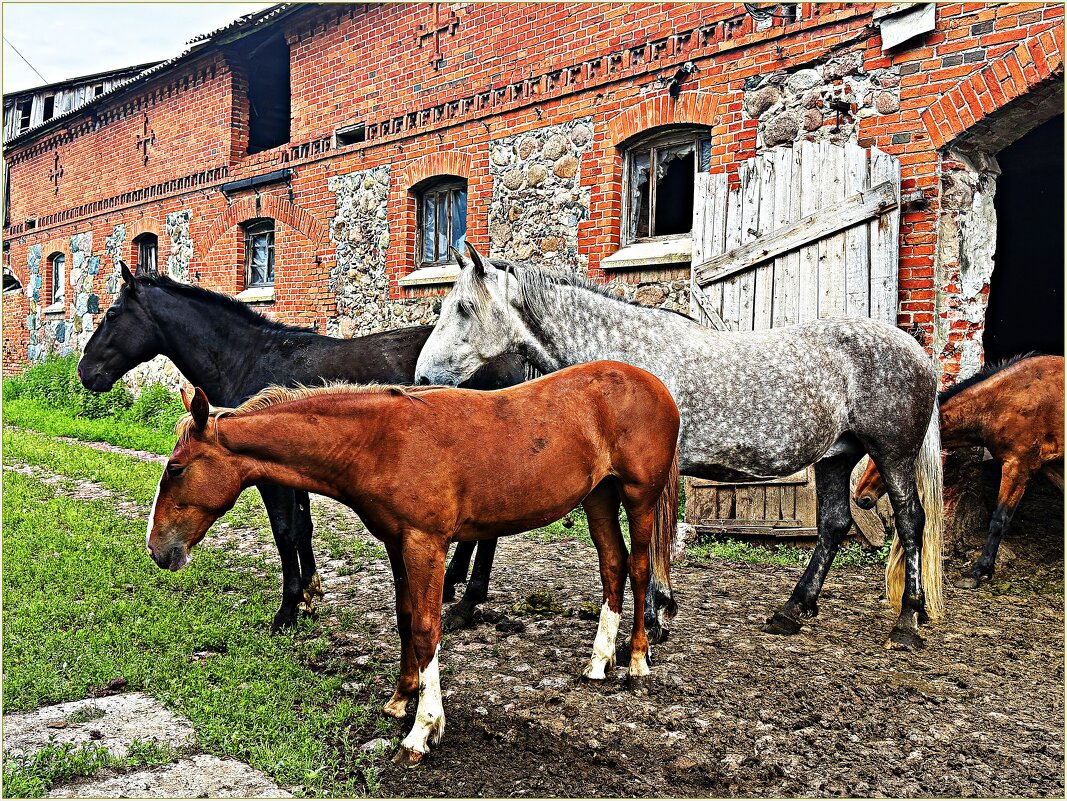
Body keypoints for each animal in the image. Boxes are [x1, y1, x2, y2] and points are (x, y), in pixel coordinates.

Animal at [77, 262, 526, 631]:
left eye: (113, 314)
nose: (85, 372)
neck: (250, 359)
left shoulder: (271, 476)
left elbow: (285, 531)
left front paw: (289, 608)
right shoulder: (295, 471)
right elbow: (302, 529)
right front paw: (311, 594)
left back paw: (467, 601)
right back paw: (453, 584)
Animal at [146, 362, 681, 765]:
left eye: (176, 468)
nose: (158, 549)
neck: (381, 442)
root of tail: (653, 384)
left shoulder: (426, 544)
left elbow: (426, 629)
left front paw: (423, 730)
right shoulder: (397, 543)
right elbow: (405, 621)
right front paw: (401, 698)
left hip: (639, 498)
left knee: (638, 569)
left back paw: (636, 660)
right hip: (598, 497)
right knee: (612, 567)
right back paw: (598, 661)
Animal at [415, 245, 945, 650]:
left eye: (463, 308)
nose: (421, 378)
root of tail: (917, 352)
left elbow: (649, 543)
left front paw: (652, 620)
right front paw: (661, 614)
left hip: (893, 455)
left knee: (910, 521)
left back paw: (907, 621)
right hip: (837, 455)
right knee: (834, 524)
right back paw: (793, 610)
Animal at [855, 353, 1064, 588]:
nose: (861, 497)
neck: (1004, 402)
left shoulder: (1018, 467)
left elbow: (998, 521)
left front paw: (978, 571)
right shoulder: (1051, 466)